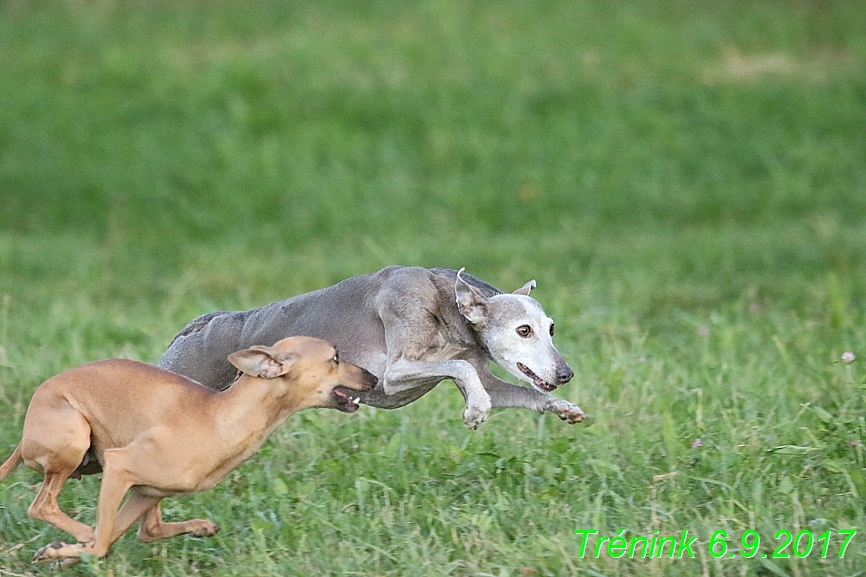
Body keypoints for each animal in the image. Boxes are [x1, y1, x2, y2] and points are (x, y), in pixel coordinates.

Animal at [0, 336, 374, 560]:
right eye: (335, 357)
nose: (373, 378)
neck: (222, 416)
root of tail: (24, 436)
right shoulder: (120, 467)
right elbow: (103, 542)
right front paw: (69, 548)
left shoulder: (143, 490)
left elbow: (124, 533)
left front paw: (65, 551)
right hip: (76, 440)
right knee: (43, 506)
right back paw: (78, 536)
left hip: (136, 488)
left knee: (148, 529)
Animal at [159, 266, 584, 428]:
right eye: (523, 330)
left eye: (551, 328)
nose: (566, 374)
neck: (445, 301)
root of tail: (197, 326)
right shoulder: (396, 372)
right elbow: (460, 371)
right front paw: (476, 411)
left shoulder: (482, 373)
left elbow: (513, 391)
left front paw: (563, 407)